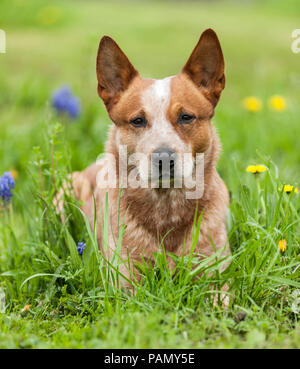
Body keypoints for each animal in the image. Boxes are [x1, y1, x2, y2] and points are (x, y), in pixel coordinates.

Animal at [58, 28, 231, 300]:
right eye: (138, 120)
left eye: (186, 117)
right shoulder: (123, 277)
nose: (164, 157)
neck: (166, 208)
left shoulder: (214, 269)